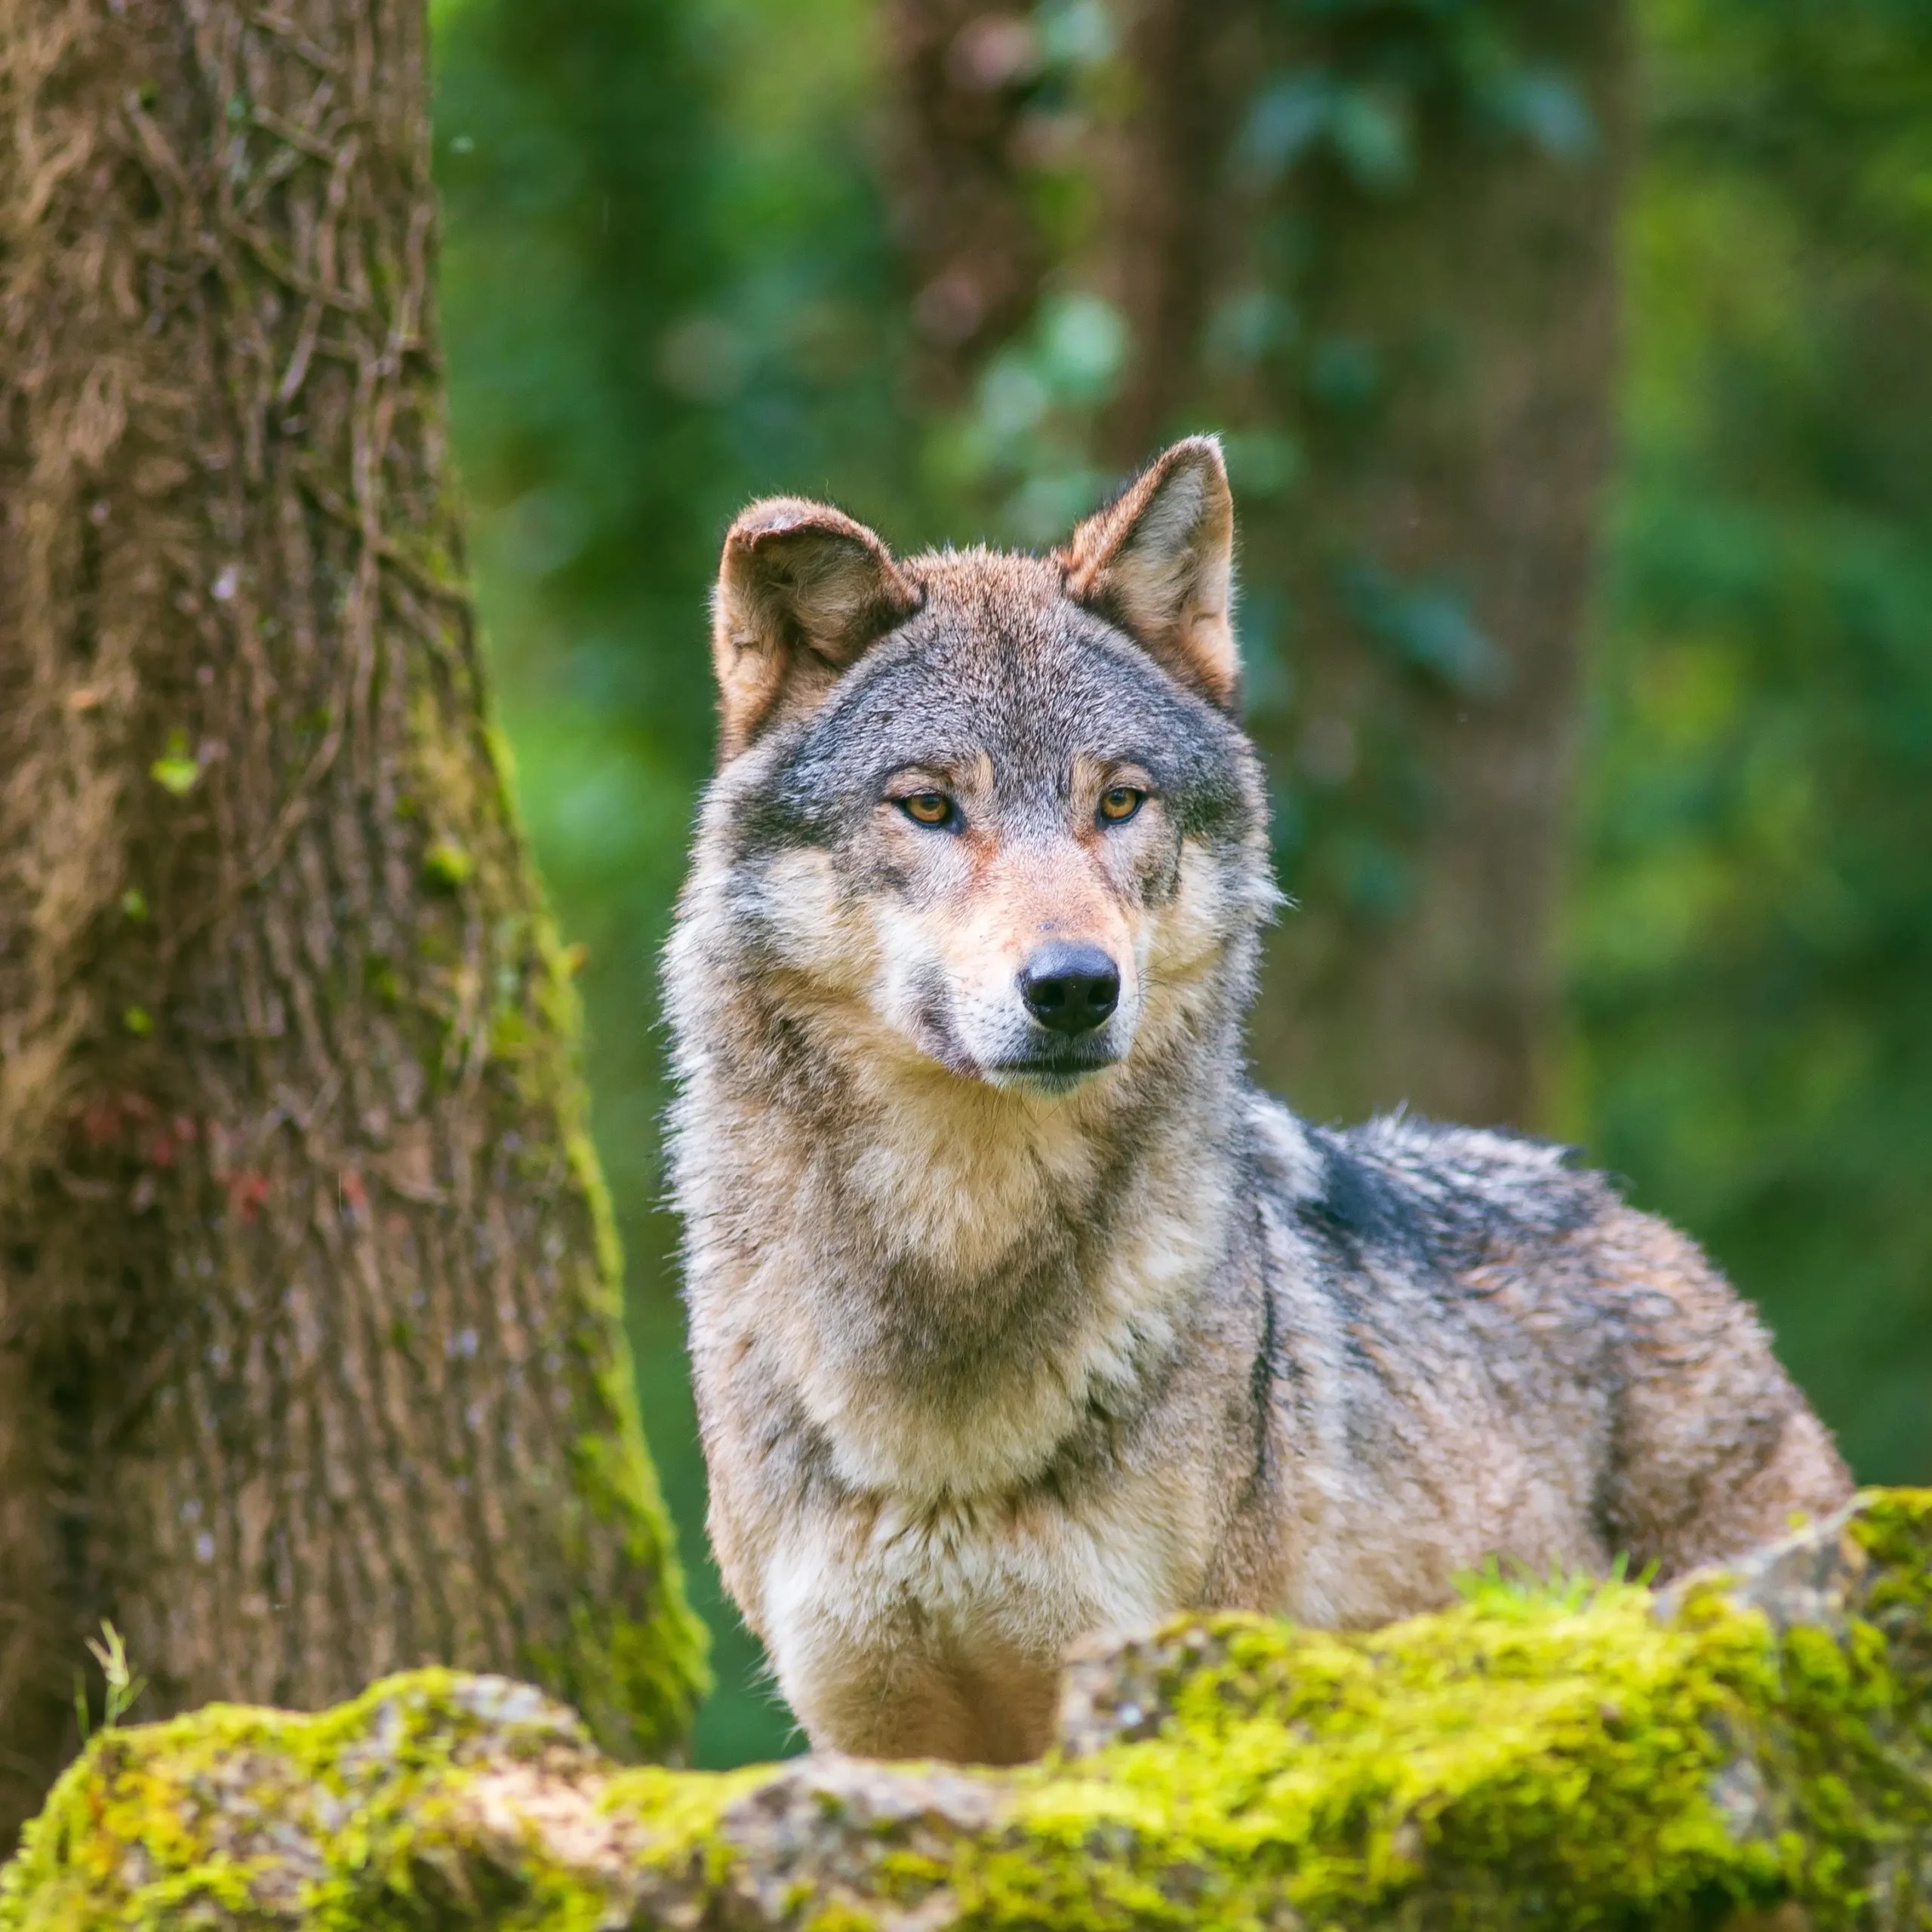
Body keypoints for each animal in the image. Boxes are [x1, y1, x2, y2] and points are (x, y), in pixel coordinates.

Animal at [666, 437, 1853, 1766]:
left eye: (1118, 802)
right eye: (929, 806)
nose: (1074, 988)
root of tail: (1629, 1216)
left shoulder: (1156, 1688)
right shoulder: (875, 1741)